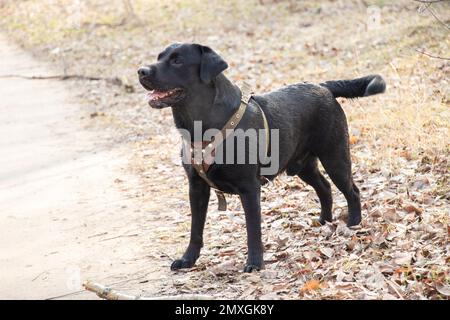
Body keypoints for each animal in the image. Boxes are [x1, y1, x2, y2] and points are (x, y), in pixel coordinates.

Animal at [136, 42, 384, 272]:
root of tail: (323, 86)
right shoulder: (196, 186)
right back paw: (324, 221)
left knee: (352, 190)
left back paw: (353, 224)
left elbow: (252, 229)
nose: (141, 71)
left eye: (177, 61)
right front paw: (188, 259)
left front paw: (255, 263)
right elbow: (195, 229)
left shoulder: (249, 187)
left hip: (335, 156)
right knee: (324, 187)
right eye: (159, 57)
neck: (200, 126)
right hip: (303, 165)